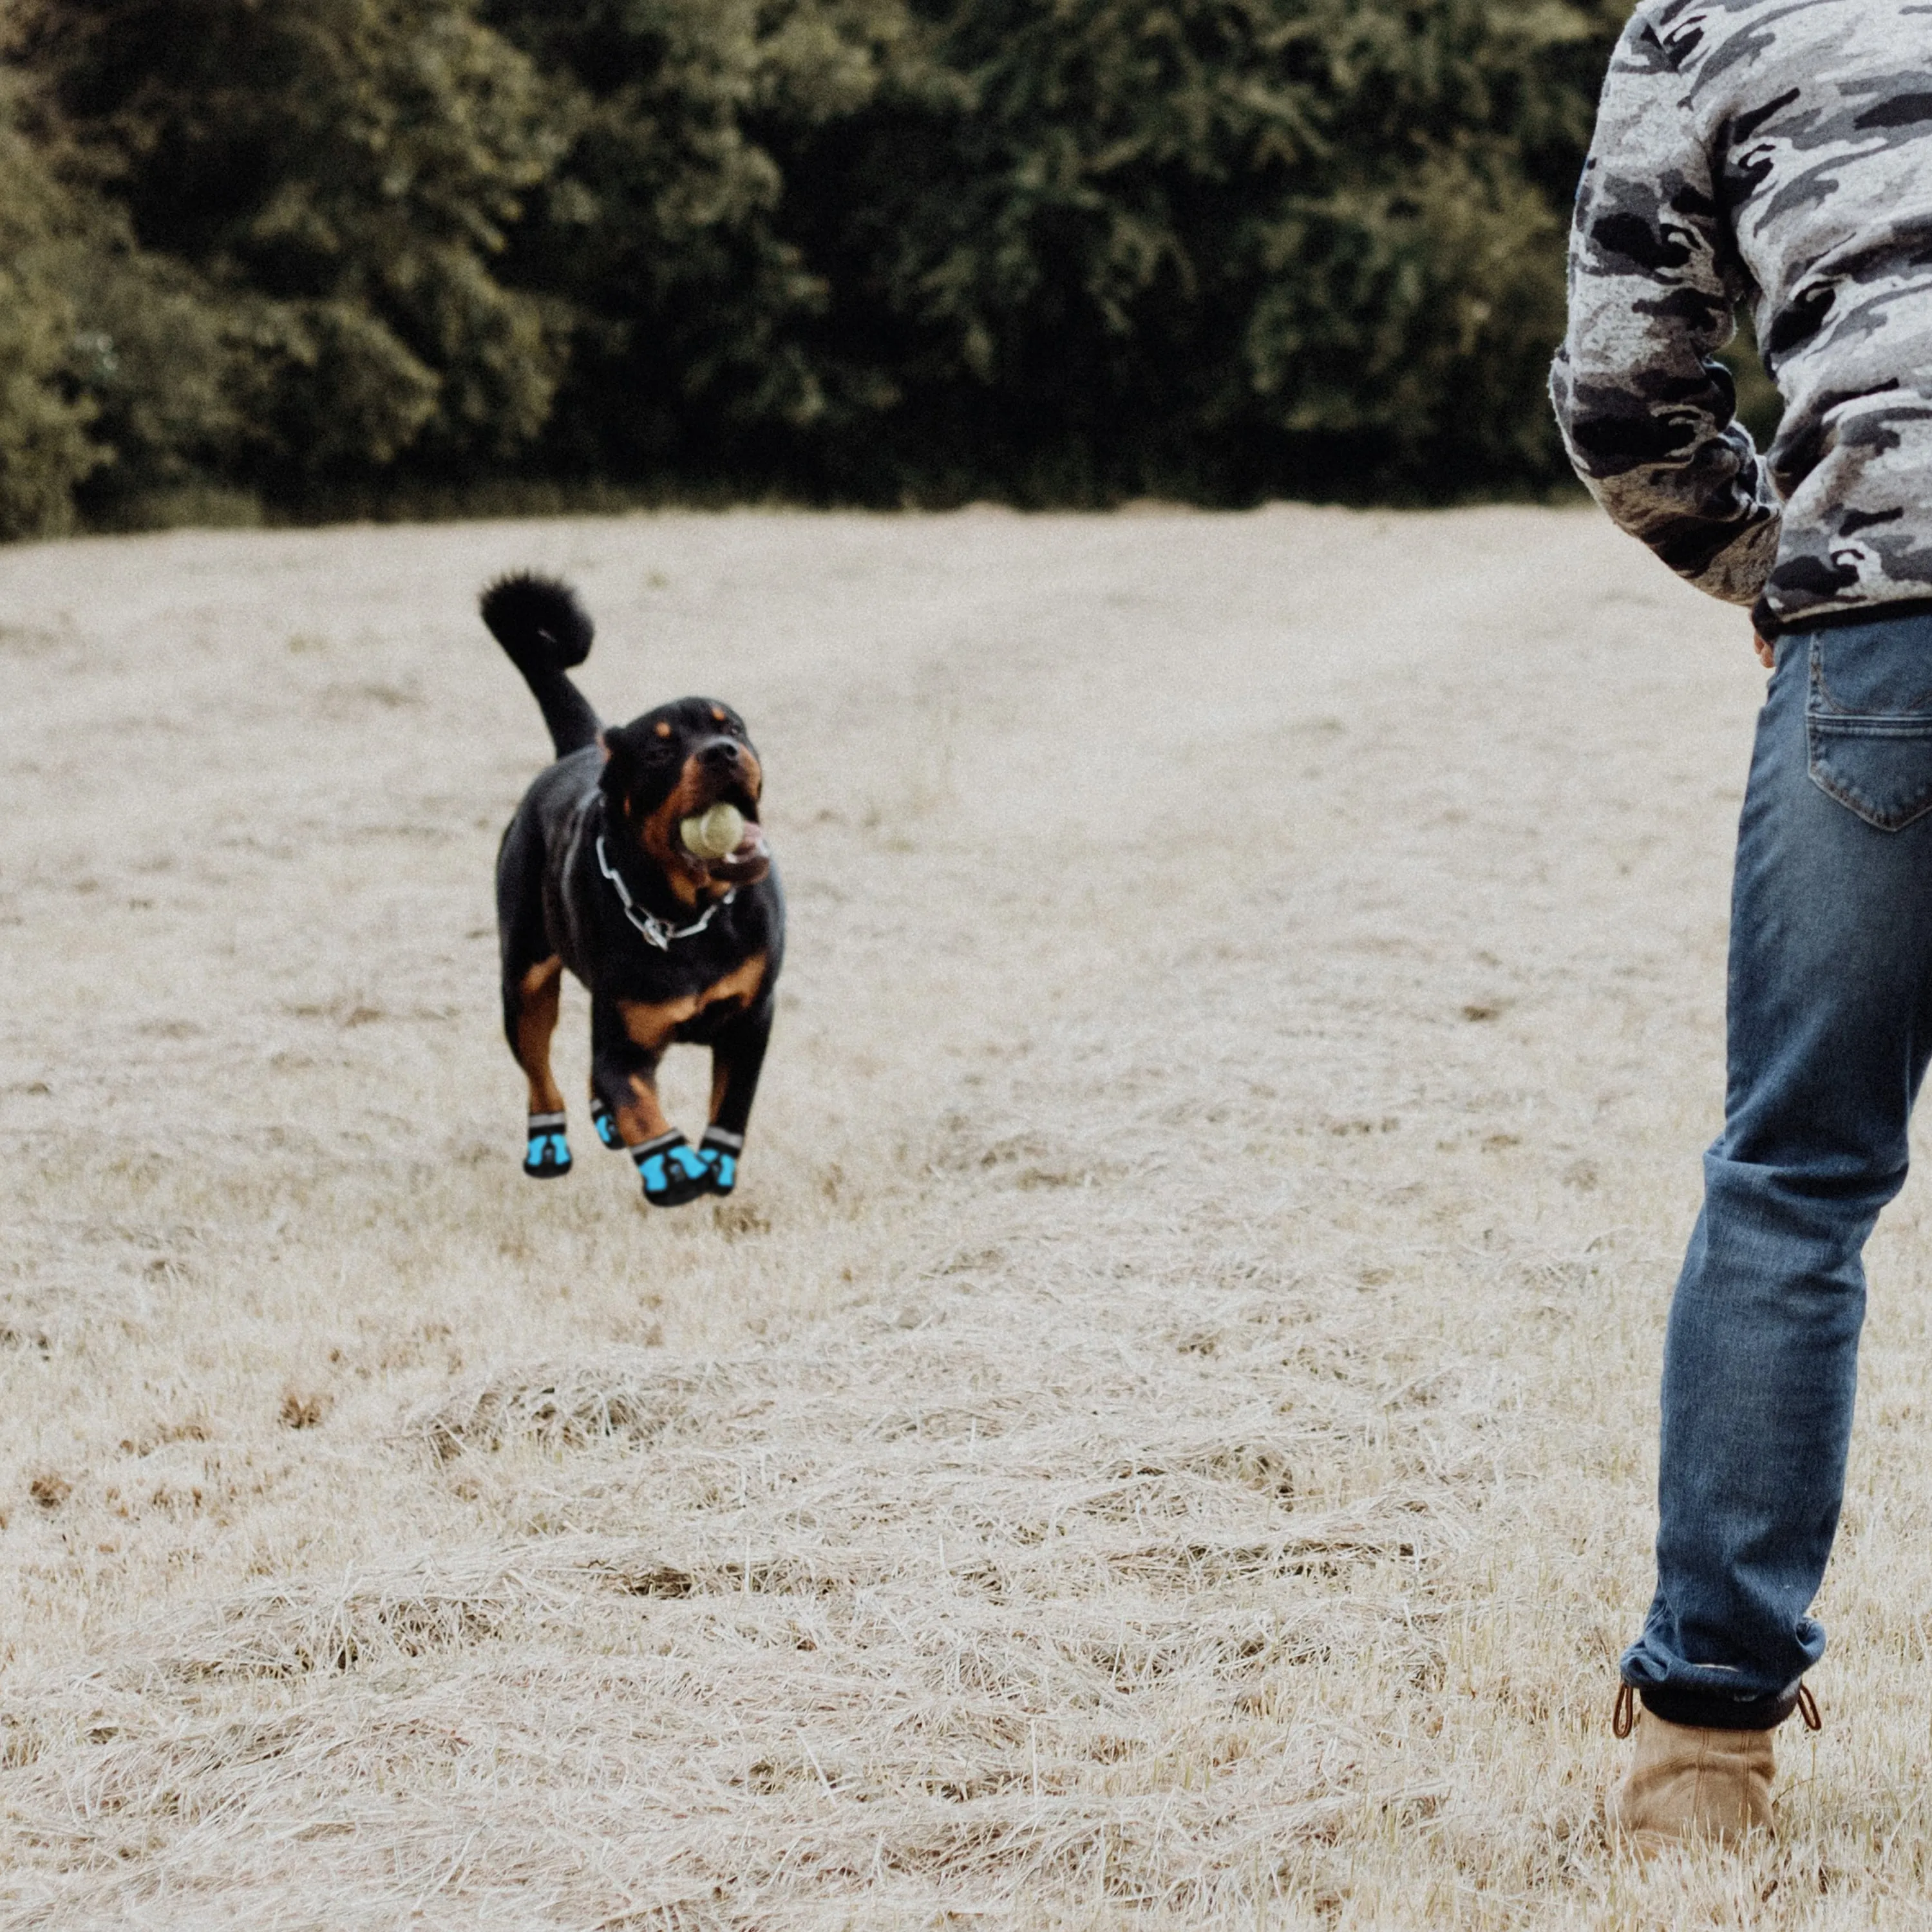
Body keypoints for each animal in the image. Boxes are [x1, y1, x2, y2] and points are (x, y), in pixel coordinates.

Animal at [483, 572, 784, 1206]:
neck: (688, 914)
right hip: (523, 979)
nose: (723, 753)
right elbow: (638, 1103)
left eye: (733, 727)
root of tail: (578, 750)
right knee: (539, 1067)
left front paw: (715, 1164)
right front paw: (672, 1168)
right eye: (660, 748)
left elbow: (733, 1102)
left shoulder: (753, 1019)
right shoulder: (622, 1041)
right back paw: (547, 1145)